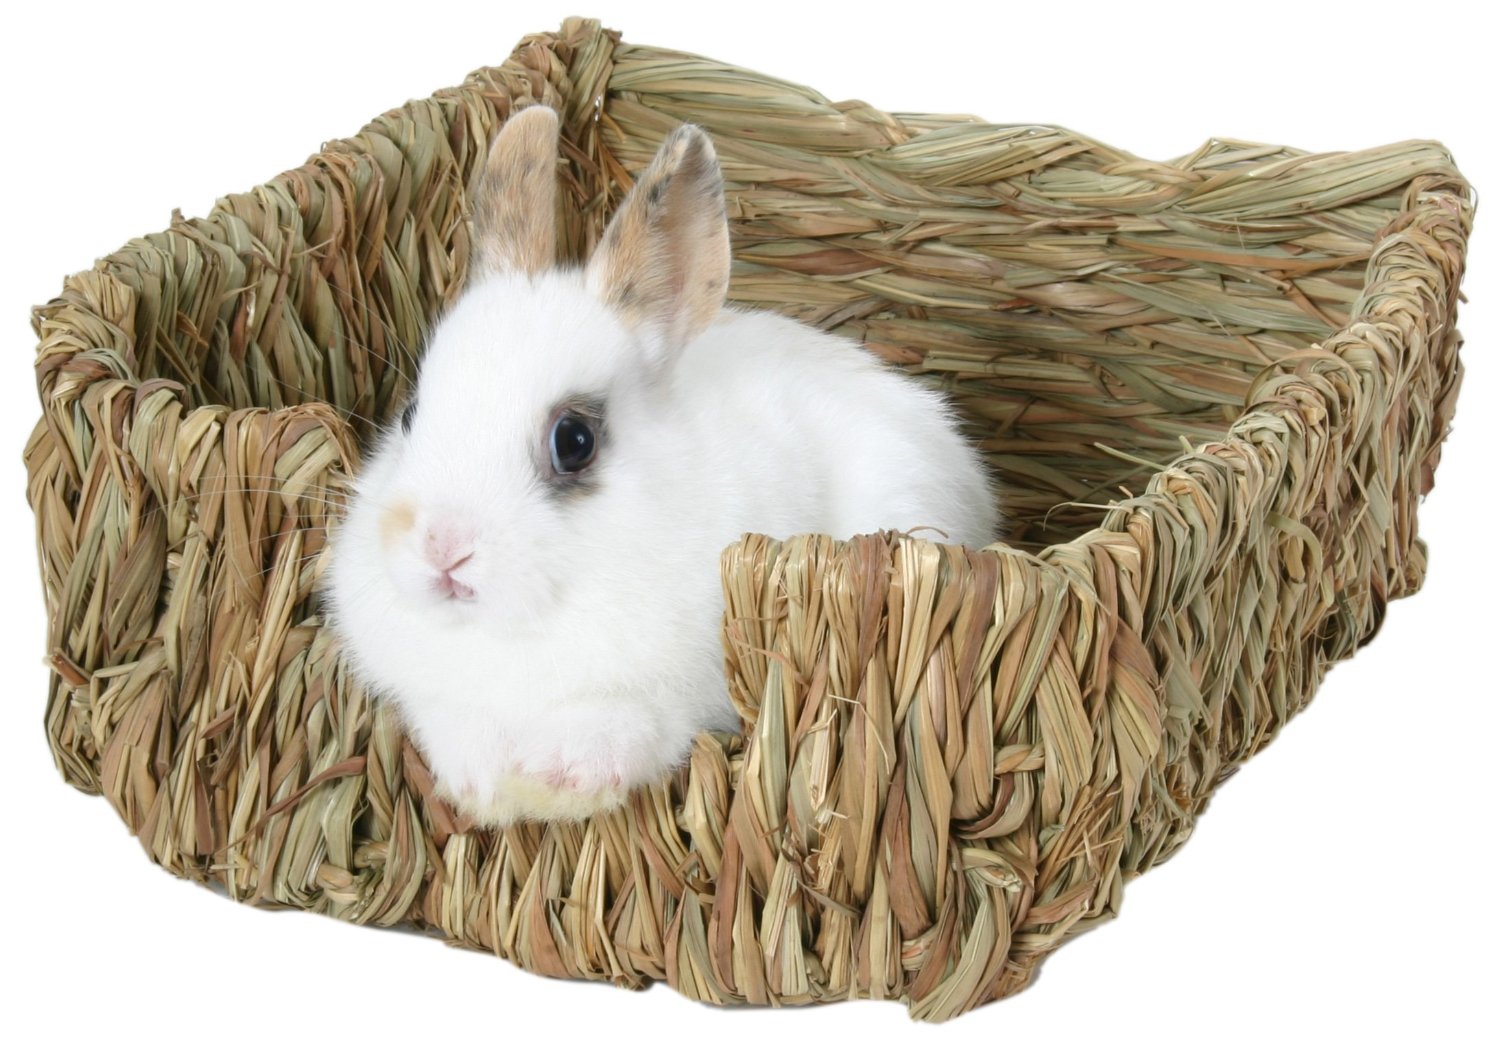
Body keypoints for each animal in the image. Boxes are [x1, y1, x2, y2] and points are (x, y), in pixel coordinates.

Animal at [330, 101, 1008, 822]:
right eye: (410, 414)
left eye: (574, 441)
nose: (442, 548)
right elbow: (455, 726)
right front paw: (484, 788)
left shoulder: (680, 695)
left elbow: (635, 729)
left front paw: (561, 779)